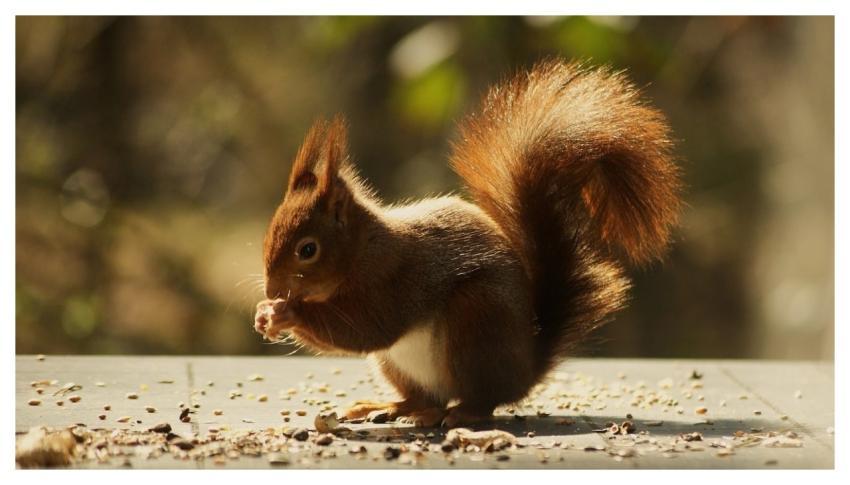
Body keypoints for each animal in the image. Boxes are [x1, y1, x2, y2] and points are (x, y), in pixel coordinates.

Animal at [253, 59, 681, 427]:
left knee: (481, 399)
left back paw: (461, 414)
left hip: (475, 320)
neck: (362, 249)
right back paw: (391, 407)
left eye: (307, 250)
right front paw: (263, 313)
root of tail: (525, 369)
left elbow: (364, 328)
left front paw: (286, 313)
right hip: (399, 363)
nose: (273, 290)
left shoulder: (393, 279)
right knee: (425, 397)